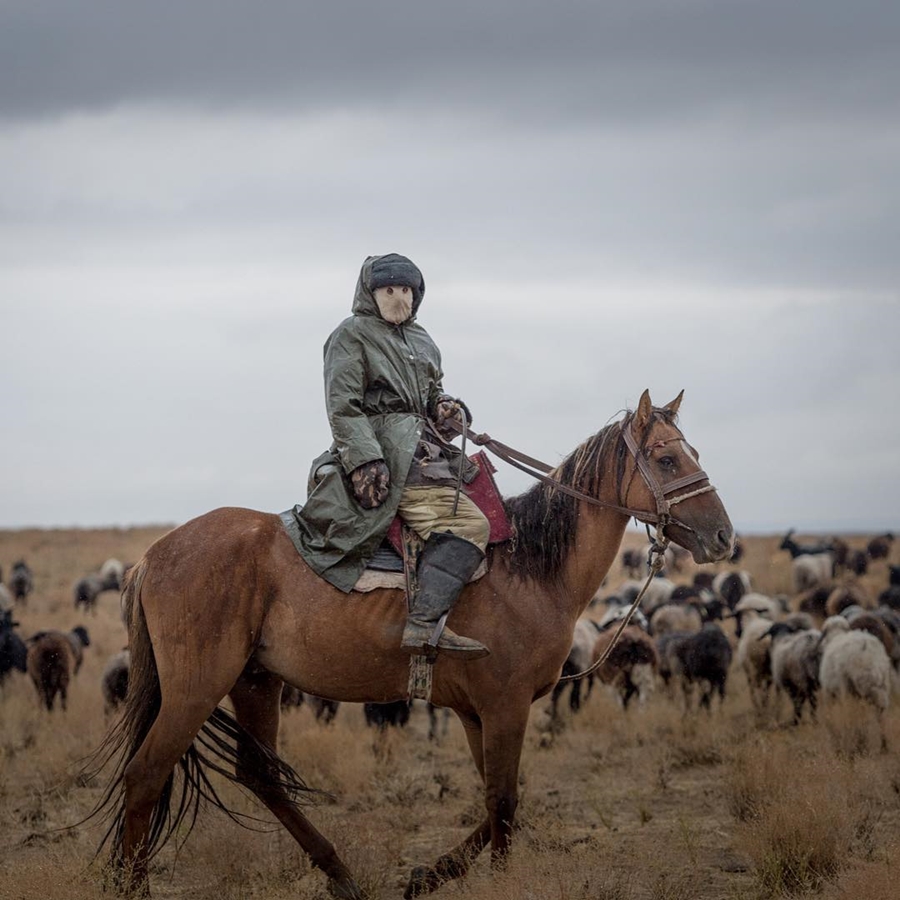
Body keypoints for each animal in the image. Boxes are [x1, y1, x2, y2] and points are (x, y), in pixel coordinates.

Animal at [88, 388, 732, 900]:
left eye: (695, 455)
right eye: (666, 458)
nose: (723, 536)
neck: (529, 566)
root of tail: (152, 558)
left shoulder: (477, 712)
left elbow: (498, 801)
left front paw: (429, 875)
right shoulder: (504, 706)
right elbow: (504, 801)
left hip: (254, 680)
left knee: (259, 774)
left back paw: (341, 875)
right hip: (197, 688)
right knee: (146, 774)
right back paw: (133, 885)